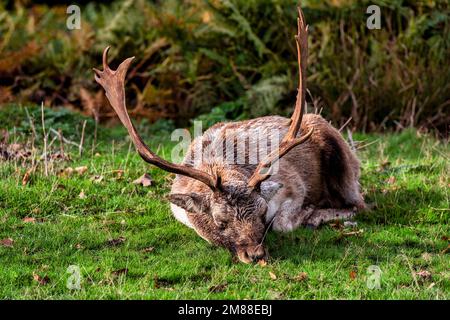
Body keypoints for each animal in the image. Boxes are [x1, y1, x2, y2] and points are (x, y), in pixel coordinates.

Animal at [93, 7, 364, 264]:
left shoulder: (293, 185)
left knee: (360, 204)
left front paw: (308, 213)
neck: (219, 166)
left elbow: (282, 223)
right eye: (220, 221)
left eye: (261, 213)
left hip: (335, 149)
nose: (255, 254)